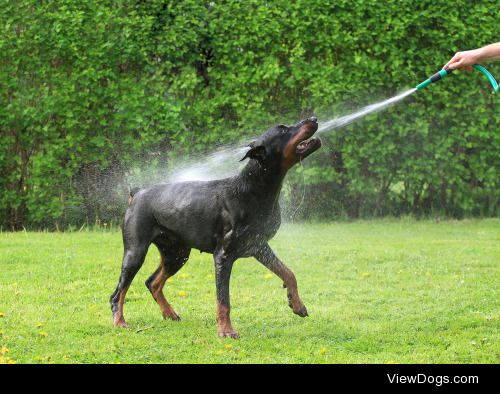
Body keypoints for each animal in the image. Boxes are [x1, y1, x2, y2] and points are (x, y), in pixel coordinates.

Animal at [109, 115, 320, 338]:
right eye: (283, 130)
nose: (314, 118)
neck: (254, 189)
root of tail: (138, 192)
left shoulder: (258, 246)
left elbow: (288, 272)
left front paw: (297, 304)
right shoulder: (223, 256)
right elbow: (223, 299)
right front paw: (226, 330)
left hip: (176, 253)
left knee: (152, 282)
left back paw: (169, 313)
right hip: (135, 252)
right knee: (118, 293)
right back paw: (119, 322)